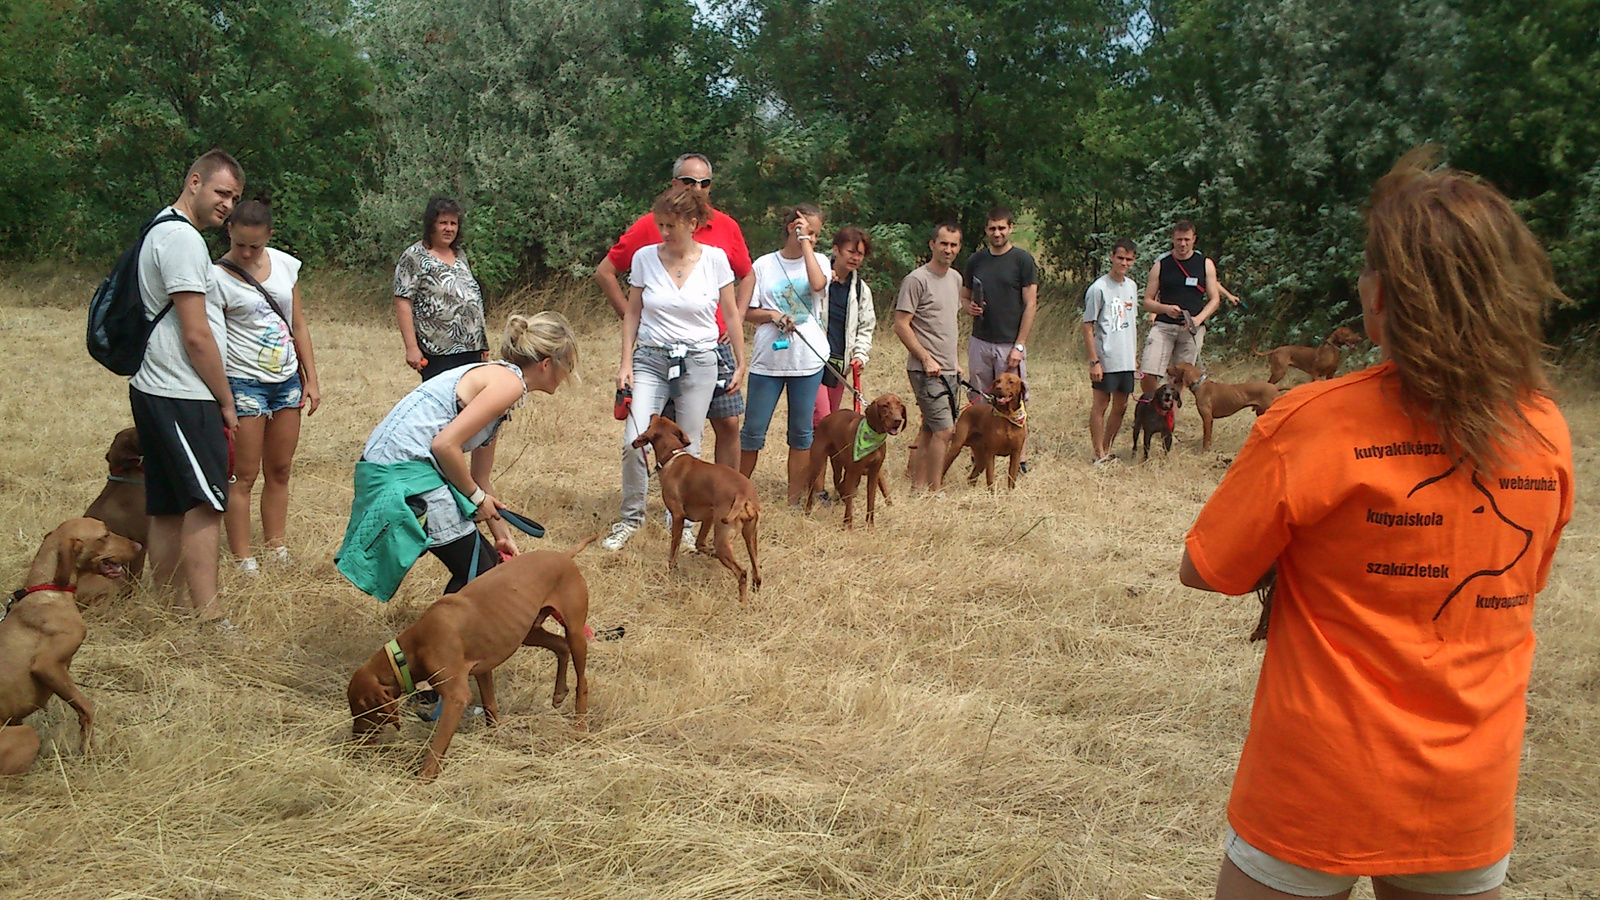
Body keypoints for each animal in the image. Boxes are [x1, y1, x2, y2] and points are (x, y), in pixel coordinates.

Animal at [0, 515, 144, 768]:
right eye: (104, 536)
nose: (139, 546)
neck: (49, 590)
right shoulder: (47, 665)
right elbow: (87, 708)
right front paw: (89, 751)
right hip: (26, 735)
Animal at [347, 531, 598, 778]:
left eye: (361, 708)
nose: (354, 743)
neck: (410, 648)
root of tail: (563, 556)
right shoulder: (482, 669)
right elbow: (490, 706)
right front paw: (494, 737)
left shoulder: (456, 697)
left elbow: (437, 747)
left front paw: (423, 781)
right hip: (529, 630)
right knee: (561, 646)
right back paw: (558, 693)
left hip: (575, 631)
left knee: (582, 679)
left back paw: (580, 724)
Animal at [630, 416, 761, 602]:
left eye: (652, 422)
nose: (653, 414)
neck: (673, 456)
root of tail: (743, 494)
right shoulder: (708, 518)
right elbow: (699, 544)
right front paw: (708, 552)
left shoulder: (678, 516)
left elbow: (674, 547)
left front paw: (671, 568)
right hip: (750, 536)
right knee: (756, 569)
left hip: (723, 540)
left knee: (742, 573)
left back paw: (742, 602)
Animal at [806, 392, 908, 525]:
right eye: (885, 405)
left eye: (900, 405)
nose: (898, 420)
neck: (873, 435)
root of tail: (826, 418)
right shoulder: (853, 473)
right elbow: (849, 503)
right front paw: (847, 525)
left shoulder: (874, 473)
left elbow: (871, 502)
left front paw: (870, 525)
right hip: (818, 465)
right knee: (813, 488)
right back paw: (807, 511)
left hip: (838, 465)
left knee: (838, 482)